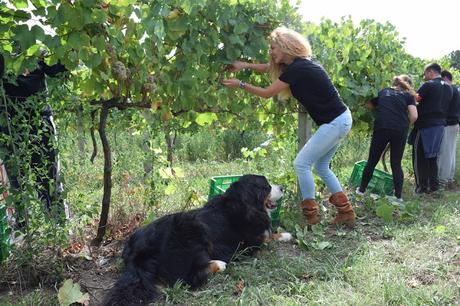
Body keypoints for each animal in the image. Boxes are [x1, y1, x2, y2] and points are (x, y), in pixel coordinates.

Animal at [104, 173, 292, 304]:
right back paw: (219, 264)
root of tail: (137, 248)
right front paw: (286, 234)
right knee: (185, 276)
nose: (283, 187)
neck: (245, 203)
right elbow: (268, 237)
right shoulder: (252, 241)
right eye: (267, 186)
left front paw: (284, 233)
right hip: (190, 229)